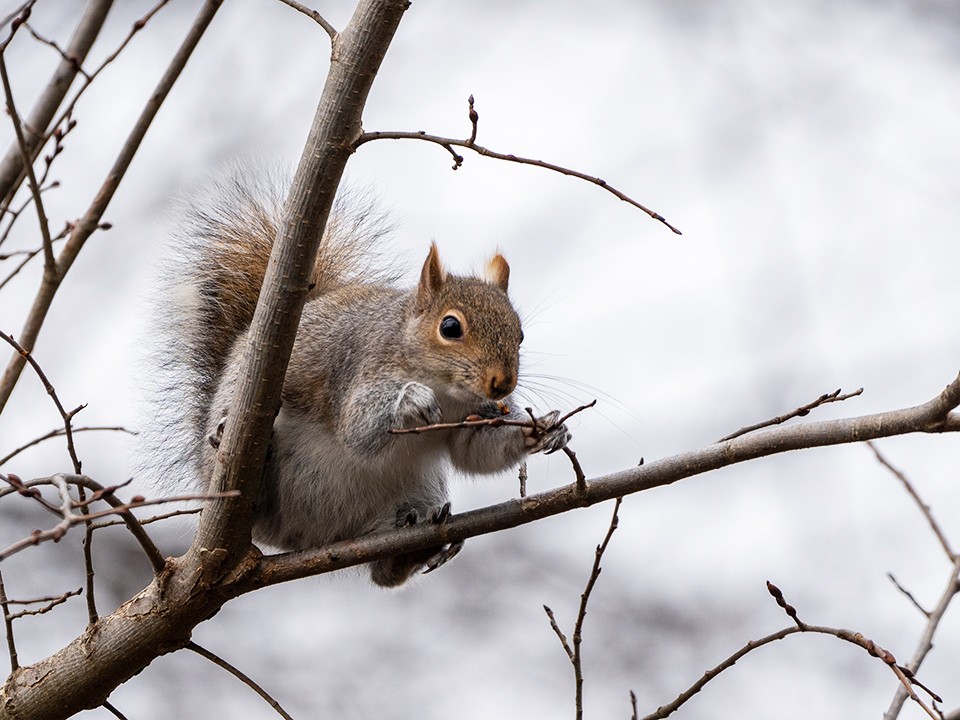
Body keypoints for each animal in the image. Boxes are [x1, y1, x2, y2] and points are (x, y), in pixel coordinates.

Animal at [152, 179, 568, 584]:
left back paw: (411, 548)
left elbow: (476, 450)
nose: (502, 384)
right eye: (450, 327)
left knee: (385, 573)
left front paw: (543, 429)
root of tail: (311, 536)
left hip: (418, 487)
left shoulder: (474, 413)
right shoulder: (359, 368)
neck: (447, 391)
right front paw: (410, 400)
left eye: (520, 334)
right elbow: (358, 430)